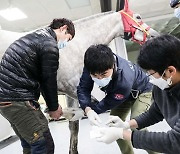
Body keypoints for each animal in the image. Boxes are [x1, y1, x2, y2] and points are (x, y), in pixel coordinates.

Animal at [0, 3, 158, 154]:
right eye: (138, 17)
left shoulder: (71, 93)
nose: (155, 35)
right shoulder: (69, 87)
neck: (73, 47)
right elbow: (92, 105)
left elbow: (74, 125)